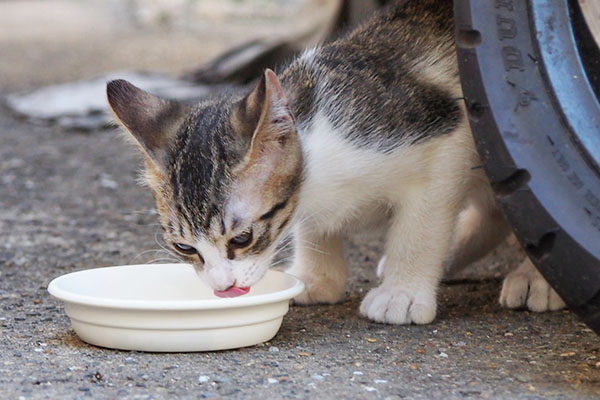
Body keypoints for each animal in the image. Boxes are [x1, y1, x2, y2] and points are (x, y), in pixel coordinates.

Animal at [106, 0, 564, 324]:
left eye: (242, 238)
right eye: (185, 247)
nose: (223, 288)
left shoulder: (448, 138)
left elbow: (422, 223)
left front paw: (402, 292)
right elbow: (316, 230)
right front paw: (317, 278)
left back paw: (536, 280)